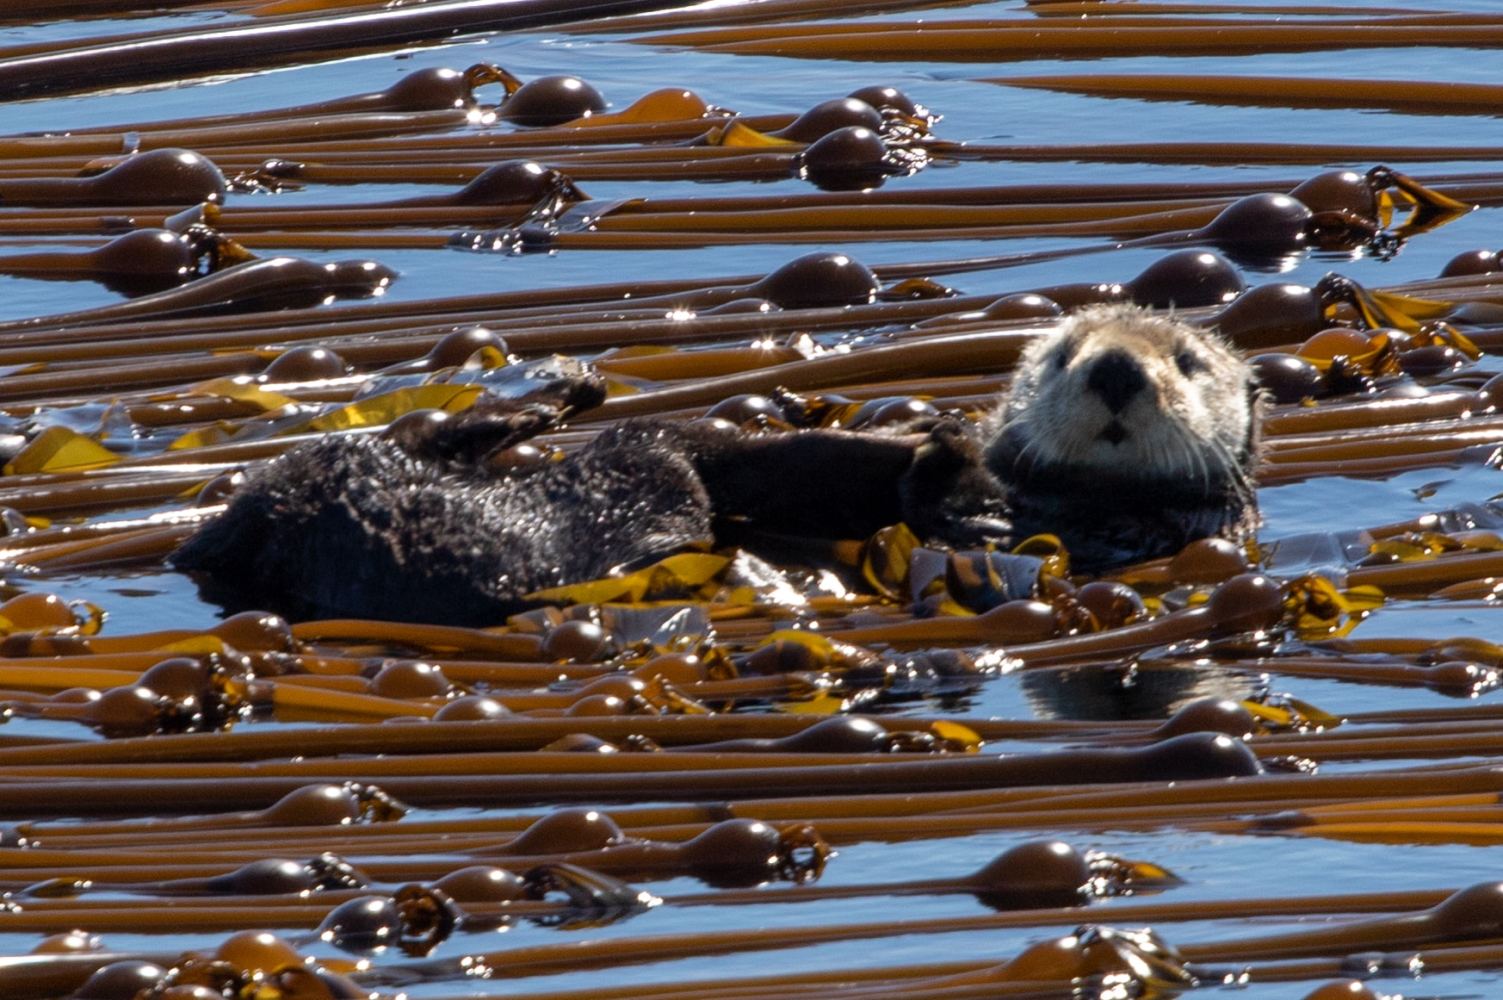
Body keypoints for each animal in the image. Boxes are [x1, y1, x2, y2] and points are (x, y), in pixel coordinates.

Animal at [173, 304, 1259, 625]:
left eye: (1187, 361)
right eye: (1067, 352)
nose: (1116, 367)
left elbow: (964, 519)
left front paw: (938, 454)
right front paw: (926, 430)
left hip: (600, 522)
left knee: (657, 475)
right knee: (433, 436)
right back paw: (564, 386)